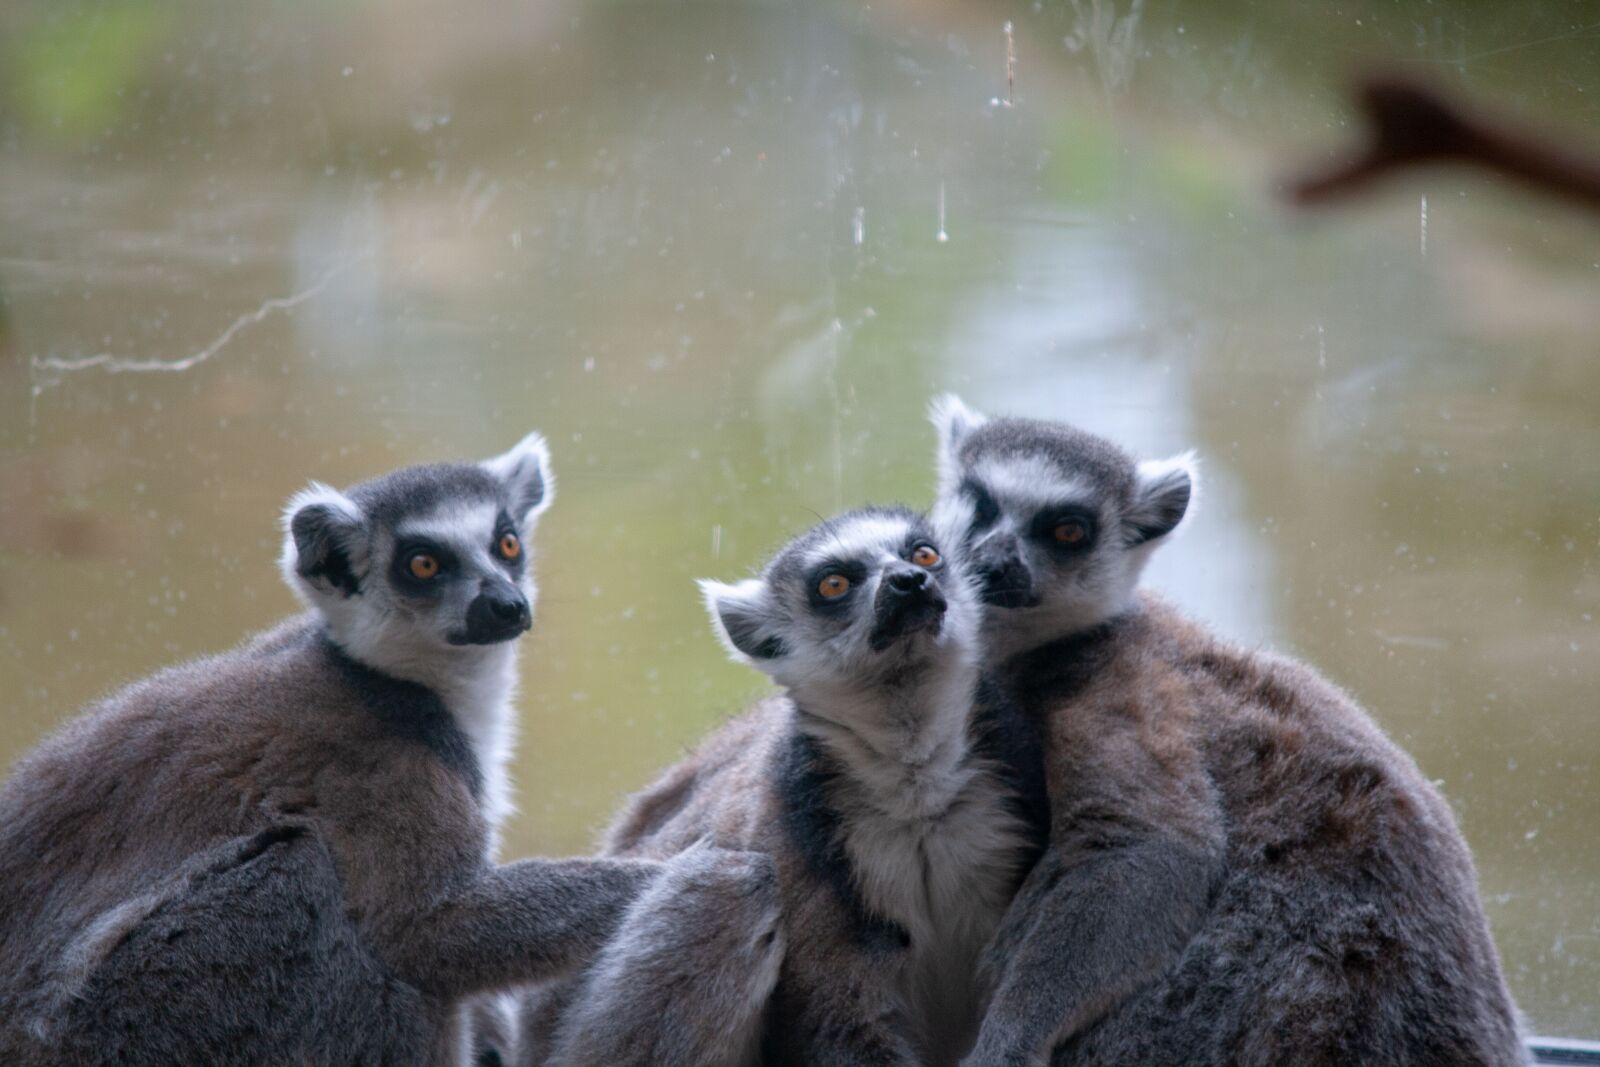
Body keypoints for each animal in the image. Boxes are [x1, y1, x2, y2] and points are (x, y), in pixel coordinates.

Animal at [0, 433, 762, 1066]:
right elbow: (427, 930)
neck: (408, 684)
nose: (506, 604)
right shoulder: (382, 768)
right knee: (312, 883)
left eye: (507, 544)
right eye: (423, 563)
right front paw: (698, 867)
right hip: (140, 1016)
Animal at [927, 395, 1528, 1067]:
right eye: (981, 504)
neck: (1051, 648)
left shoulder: (1119, 692)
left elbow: (1154, 853)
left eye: (1067, 532)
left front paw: (1006, 1044)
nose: (995, 562)